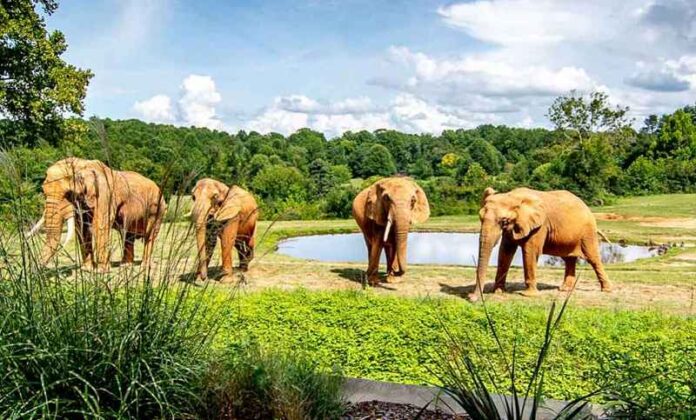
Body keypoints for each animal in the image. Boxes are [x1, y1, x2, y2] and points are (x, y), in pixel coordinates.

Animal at [26, 158, 169, 272]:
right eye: (43, 191)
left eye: (68, 194)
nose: (33, 271)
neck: (82, 164)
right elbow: (82, 228)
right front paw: (87, 269)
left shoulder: (105, 194)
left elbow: (100, 225)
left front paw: (101, 272)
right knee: (128, 236)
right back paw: (125, 266)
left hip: (158, 210)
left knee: (150, 236)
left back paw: (144, 267)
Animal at [470, 188, 612, 302]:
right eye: (480, 218)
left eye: (504, 221)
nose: (472, 298)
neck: (513, 196)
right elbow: (505, 251)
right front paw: (499, 292)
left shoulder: (540, 226)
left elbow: (530, 251)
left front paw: (528, 295)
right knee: (569, 259)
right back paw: (564, 289)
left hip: (588, 232)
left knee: (593, 258)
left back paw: (606, 290)